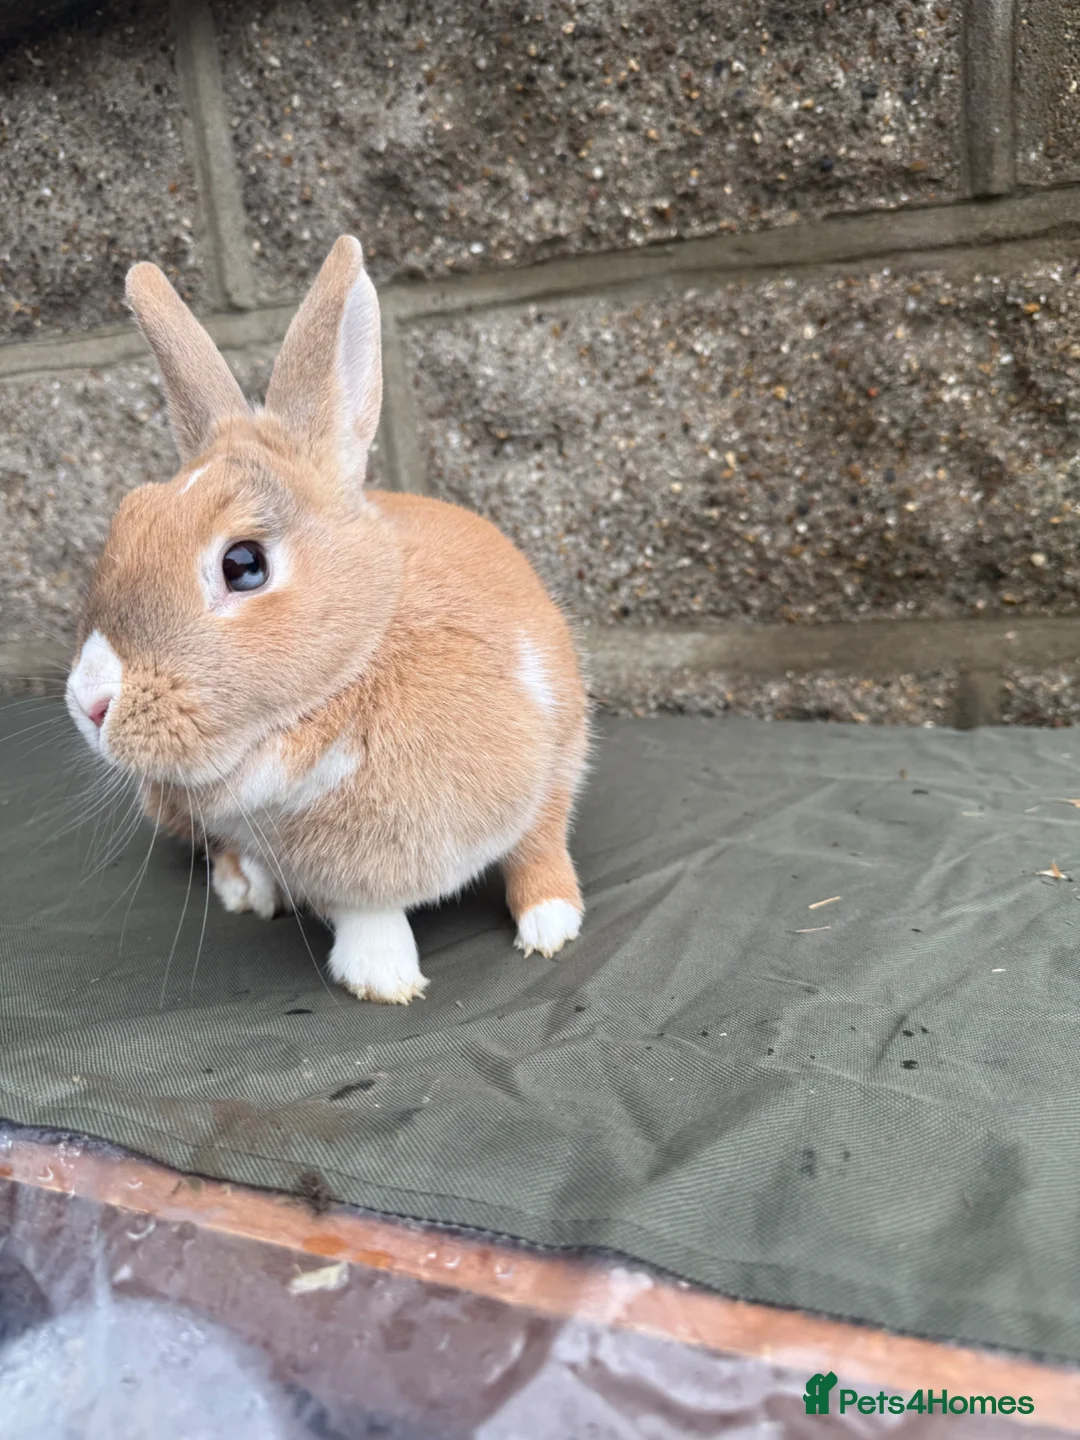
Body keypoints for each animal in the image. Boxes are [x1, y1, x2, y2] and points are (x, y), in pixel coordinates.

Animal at [65, 235, 589, 1003]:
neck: (339, 698)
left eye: (244, 564)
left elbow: (539, 846)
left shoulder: (557, 757)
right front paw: (383, 978)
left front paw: (553, 926)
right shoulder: (336, 874)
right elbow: (366, 912)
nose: (90, 703)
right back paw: (244, 890)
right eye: (126, 519)